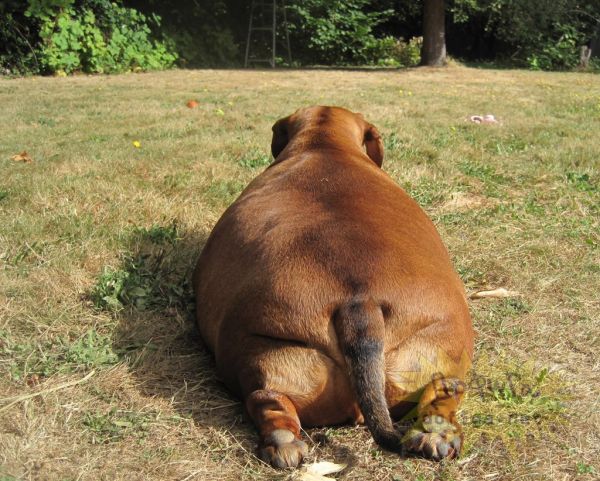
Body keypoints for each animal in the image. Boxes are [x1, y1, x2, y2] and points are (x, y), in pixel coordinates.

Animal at [193, 106, 474, 468]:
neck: (326, 145)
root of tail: (360, 304)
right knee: (444, 390)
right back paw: (438, 434)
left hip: (261, 353)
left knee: (266, 399)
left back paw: (282, 441)